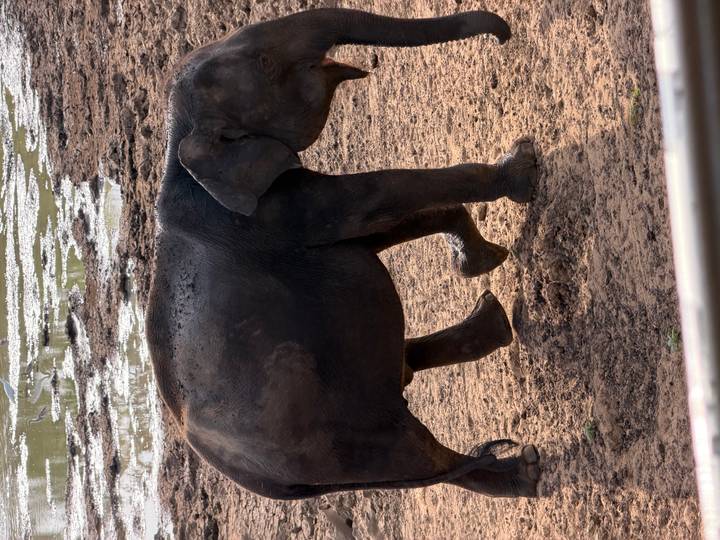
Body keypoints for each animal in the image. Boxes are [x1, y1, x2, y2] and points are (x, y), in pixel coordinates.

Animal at [146, 7, 540, 500]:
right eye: (263, 63)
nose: (504, 36)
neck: (178, 142)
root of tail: (266, 484)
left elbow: (383, 228)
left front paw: (483, 261)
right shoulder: (270, 215)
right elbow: (382, 193)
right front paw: (523, 168)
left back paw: (493, 322)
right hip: (326, 443)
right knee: (424, 455)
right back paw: (527, 468)